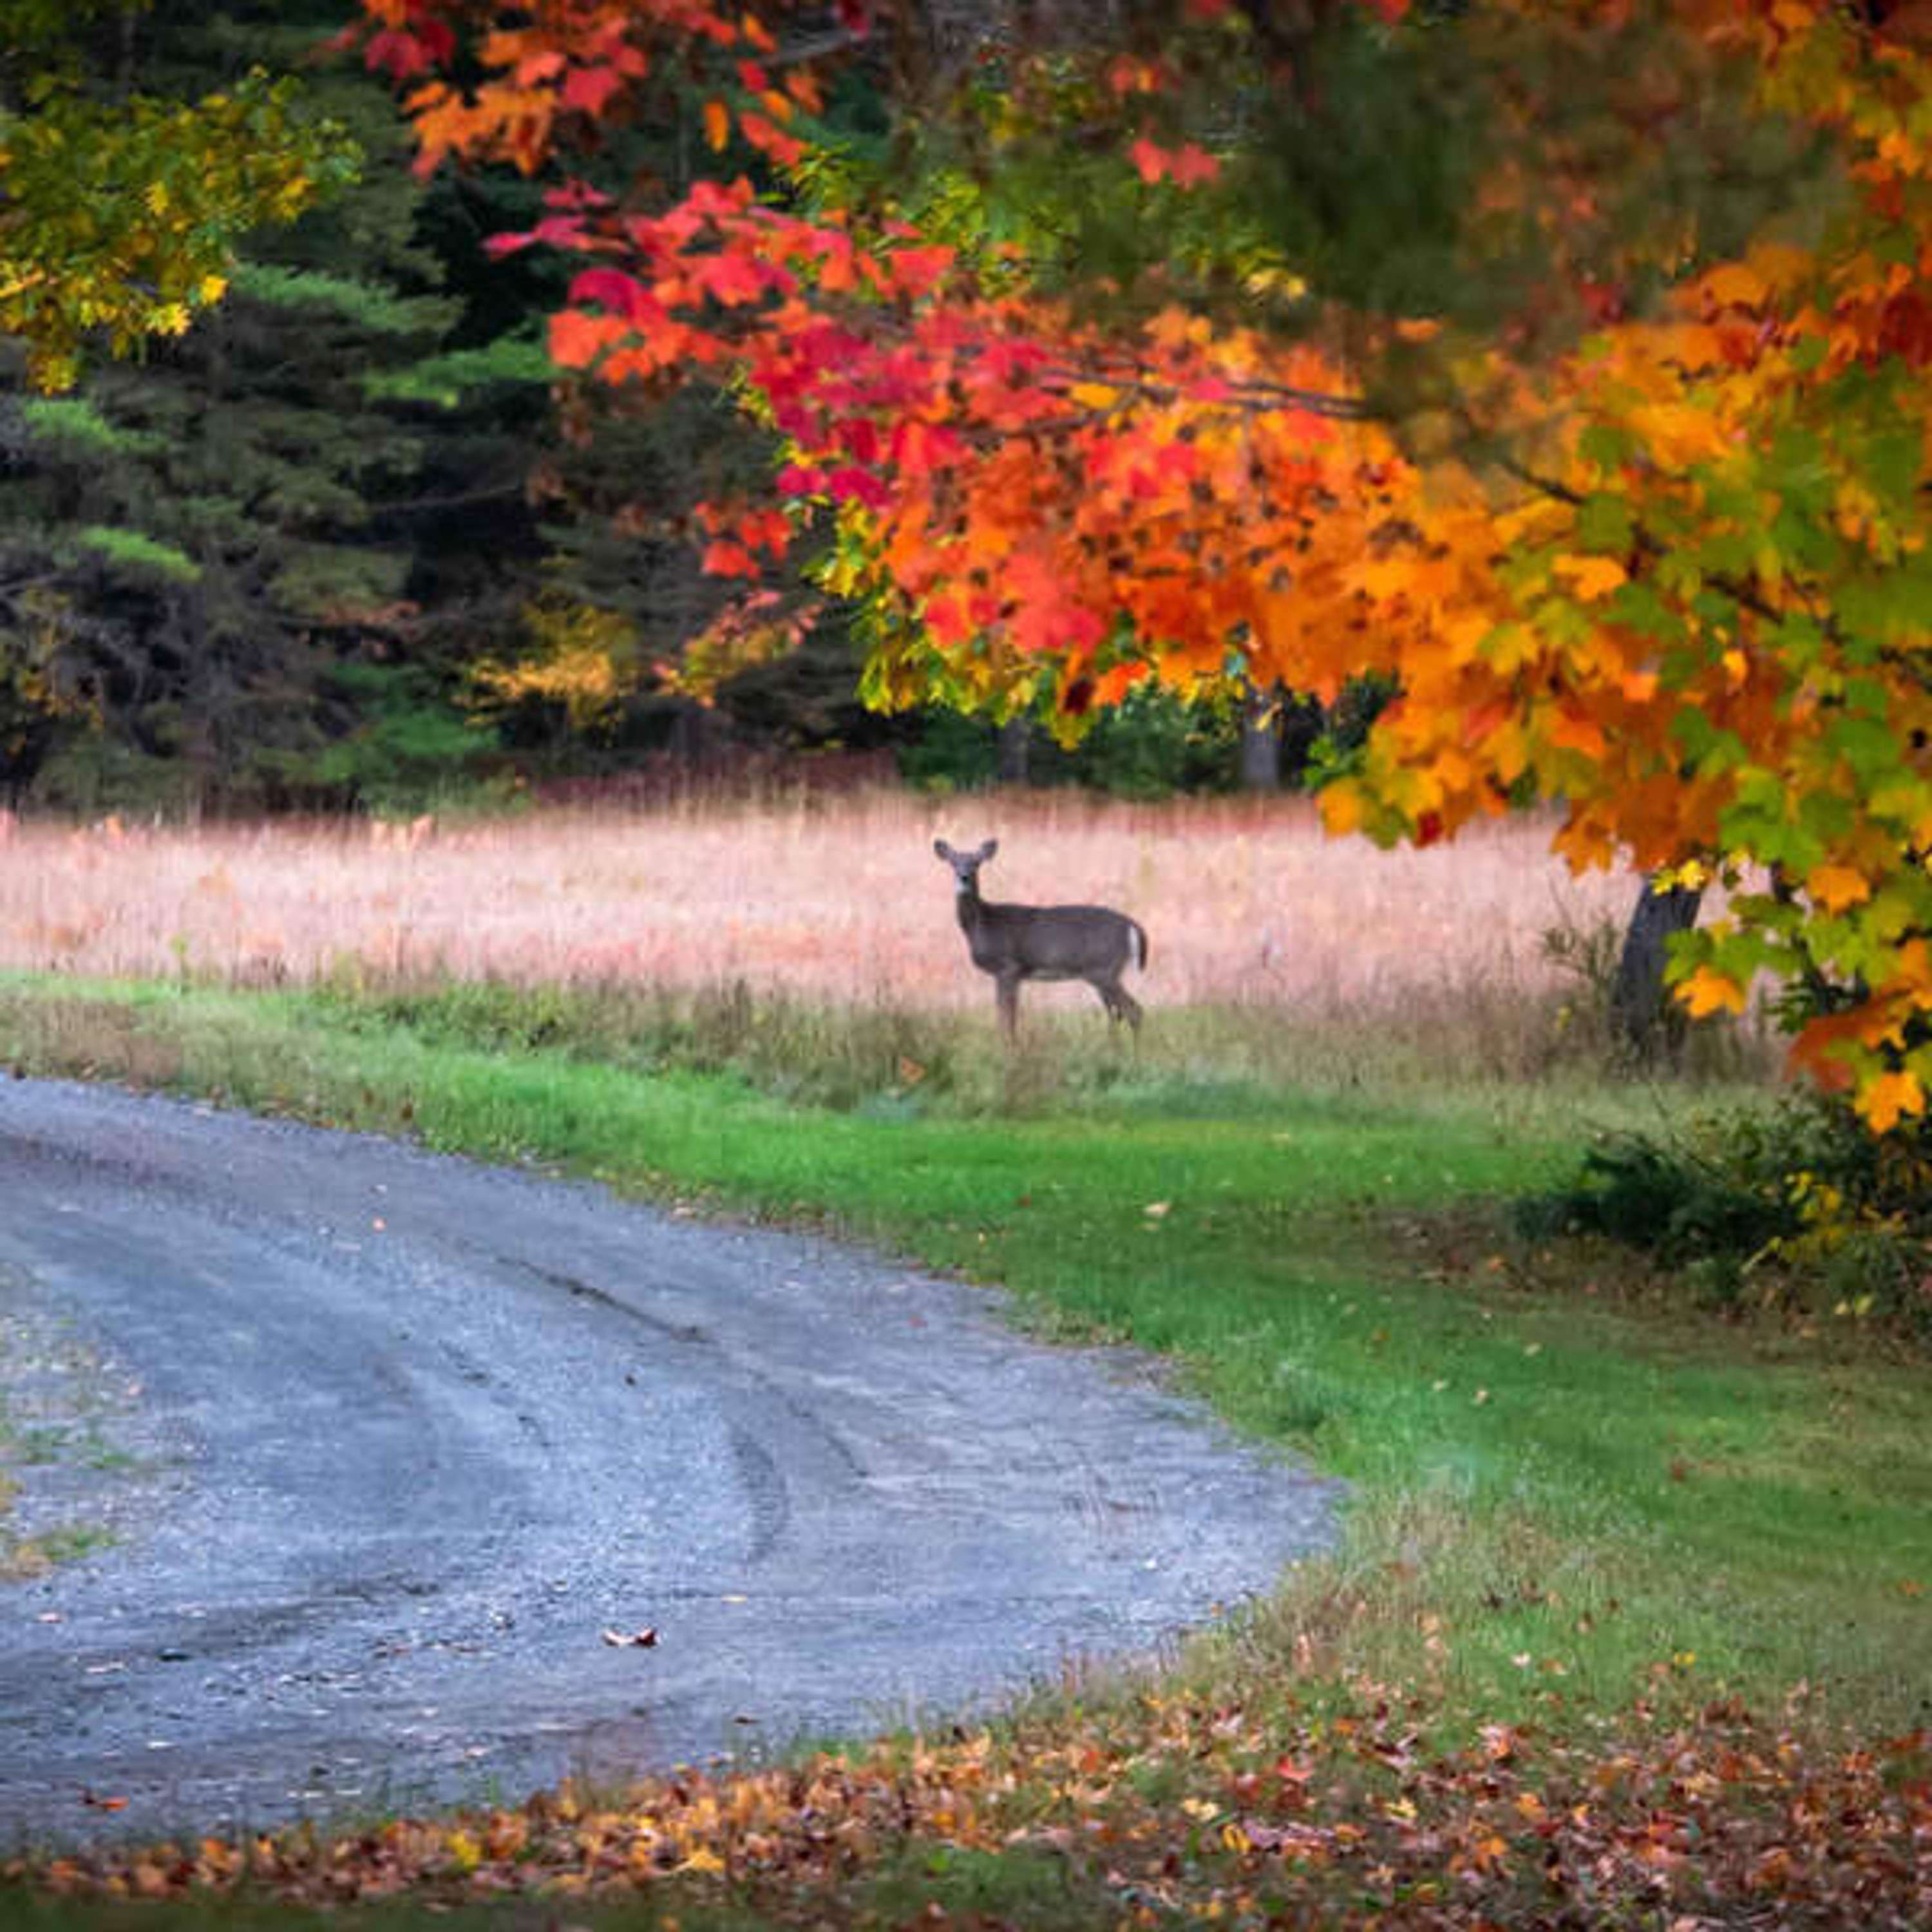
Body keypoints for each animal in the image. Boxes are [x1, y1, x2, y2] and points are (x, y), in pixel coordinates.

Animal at [935, 835, 1144, 1036]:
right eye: (953, 862)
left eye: (977, 863)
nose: (964, 877)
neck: (982, 923)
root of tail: (1132, 925)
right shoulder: (1008, 974)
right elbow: (1005, 1017)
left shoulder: (1008, 967)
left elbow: (1007, 1019)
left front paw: (1009, 1046)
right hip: (1104, 973)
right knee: (1118, 1013)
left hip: (1104, 969)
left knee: (1133, 1011)